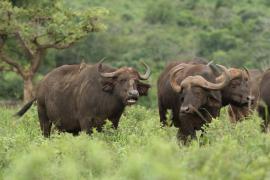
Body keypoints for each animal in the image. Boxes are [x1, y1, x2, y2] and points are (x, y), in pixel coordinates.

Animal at [15, 60, 151, 136]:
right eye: (122, 80)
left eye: (136, 81)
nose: (133, 94)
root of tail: (40, 86)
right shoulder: (86, 122)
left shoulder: (114, 122)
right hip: (43, 118)